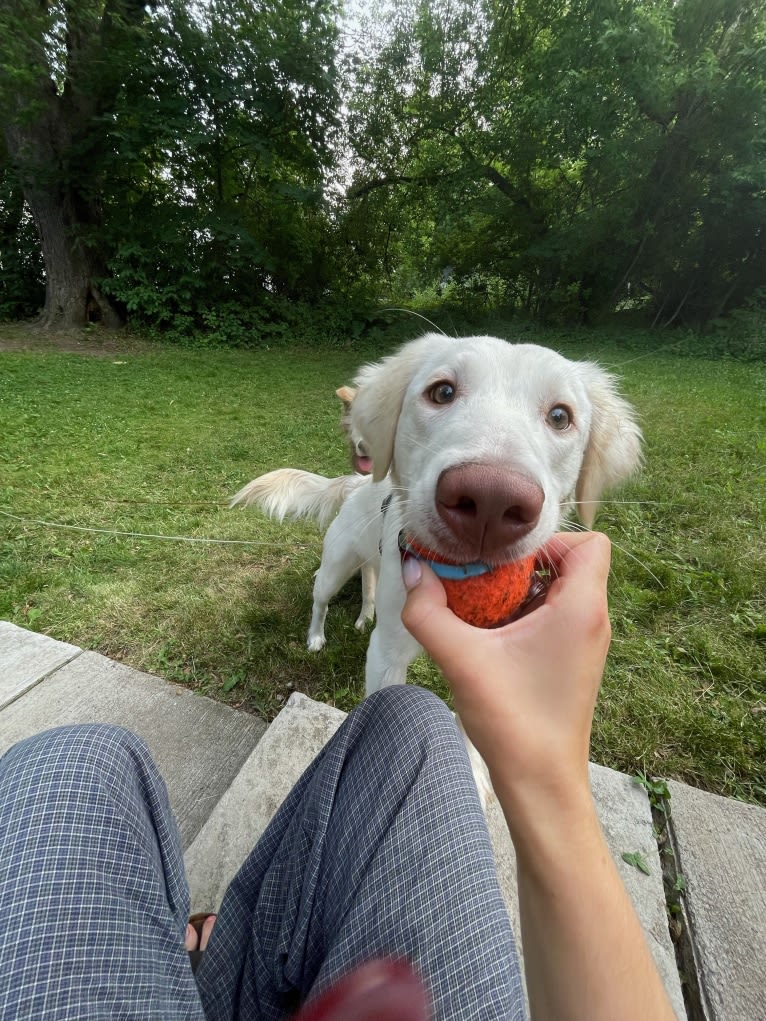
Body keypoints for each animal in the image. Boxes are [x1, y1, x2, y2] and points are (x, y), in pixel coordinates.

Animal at [232, 332, 641, 694]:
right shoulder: (386, 653)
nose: (490, 499)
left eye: (559, 416)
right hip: (335, 566)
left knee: (368, 583)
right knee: (320, 599)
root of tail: (357, 484)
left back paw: (364, 615)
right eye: (442, 392)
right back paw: (316, 636)